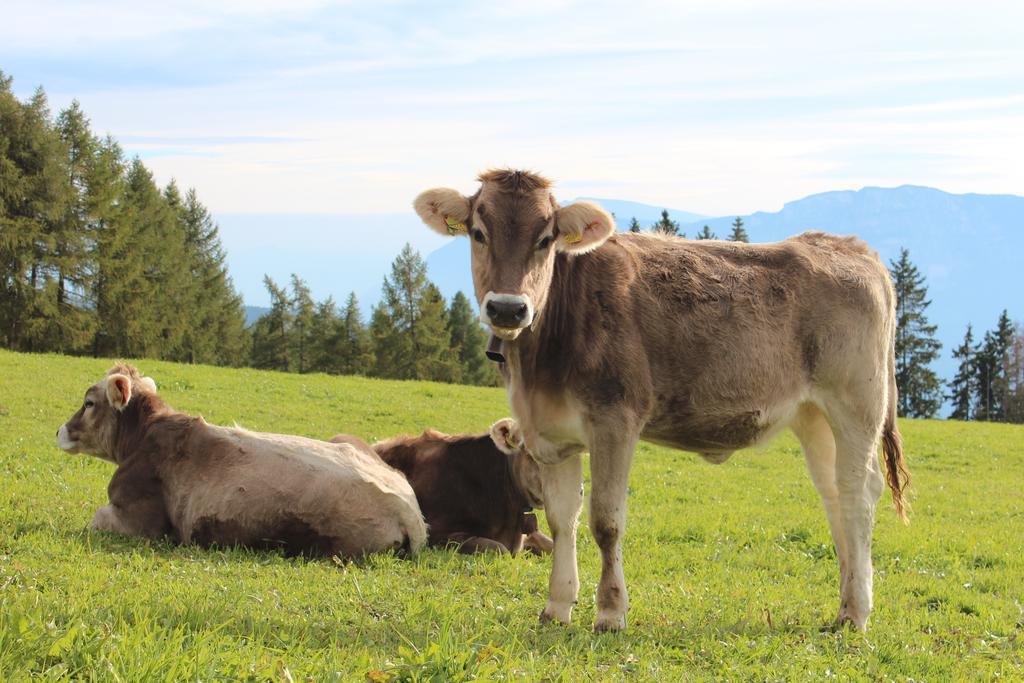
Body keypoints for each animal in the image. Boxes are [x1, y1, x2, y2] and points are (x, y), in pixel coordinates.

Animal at [57, 366, 428, 557]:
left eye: (89, 403)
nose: (60, 430)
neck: (144, 434)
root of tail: (409, 509)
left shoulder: (142, 522)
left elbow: (96, 518)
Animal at [415, 167, 913, 634]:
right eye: (479, 233)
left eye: (546, 238)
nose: (507, 308)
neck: (540, 365)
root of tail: (849, 246)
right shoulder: (550, 435)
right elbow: (561, 520)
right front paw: (557, 607)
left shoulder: (615, 419)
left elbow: (605, 521)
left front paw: (610, 612)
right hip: (812, 415)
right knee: (833, 494)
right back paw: (846, 604)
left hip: (856, 403)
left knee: (859, 492)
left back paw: (858, 613)